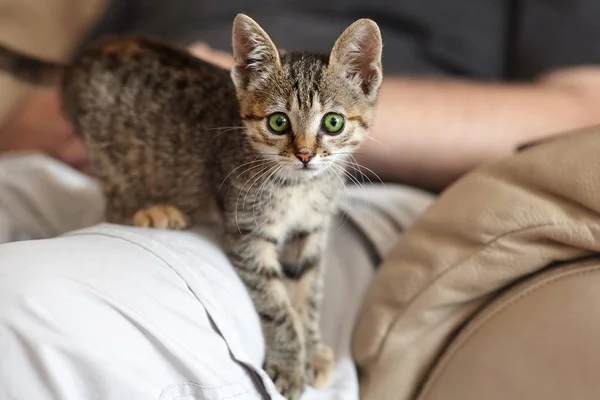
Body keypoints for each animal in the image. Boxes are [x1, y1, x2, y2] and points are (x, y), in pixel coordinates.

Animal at [0, 14, 384, 398]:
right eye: (278, 122)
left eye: (332, 122)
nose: (305, 155)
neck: (301, 187)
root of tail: (81, 58)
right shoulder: (247, 235)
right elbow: (277, 306)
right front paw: (289, 364)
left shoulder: (311, 233)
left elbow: (308, 295)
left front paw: (312, 350)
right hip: (111, 155)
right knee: (114, 204)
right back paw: (151, 212)